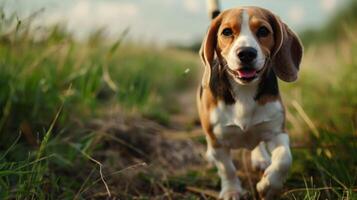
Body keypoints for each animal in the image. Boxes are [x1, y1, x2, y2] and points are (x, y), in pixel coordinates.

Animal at [196, 3, 302, 200]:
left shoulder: (277, 132)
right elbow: (227, 169)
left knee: (257, 144)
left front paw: (269, 186)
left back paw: (260, 158)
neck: (244, 91)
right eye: (227, 32)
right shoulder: (217, 140)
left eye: (263, 30)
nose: (246, 53)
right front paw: (231, 191)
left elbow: (285, 159)